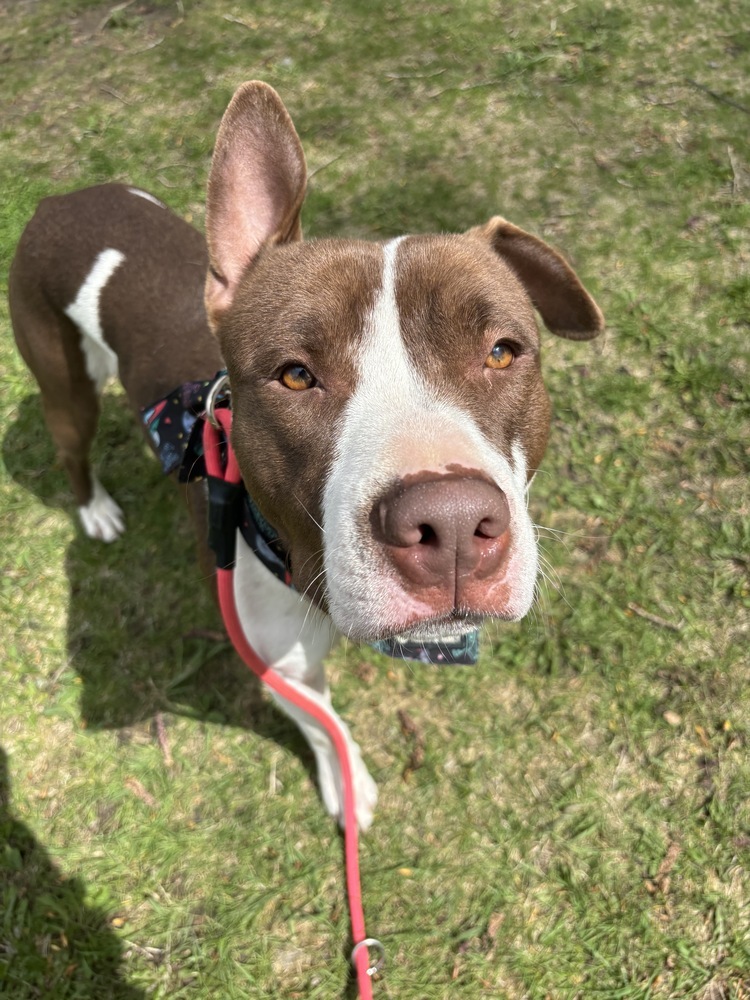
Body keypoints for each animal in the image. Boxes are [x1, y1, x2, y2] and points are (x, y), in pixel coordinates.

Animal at [8, 80, 604, 828]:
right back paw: (96, 509)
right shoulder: (279, 664)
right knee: (71, 446)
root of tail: (59, 200)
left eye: (501, 352)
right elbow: (325, 726)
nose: (453, 523)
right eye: (295, 375)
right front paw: (347, 782)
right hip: (63, 383)